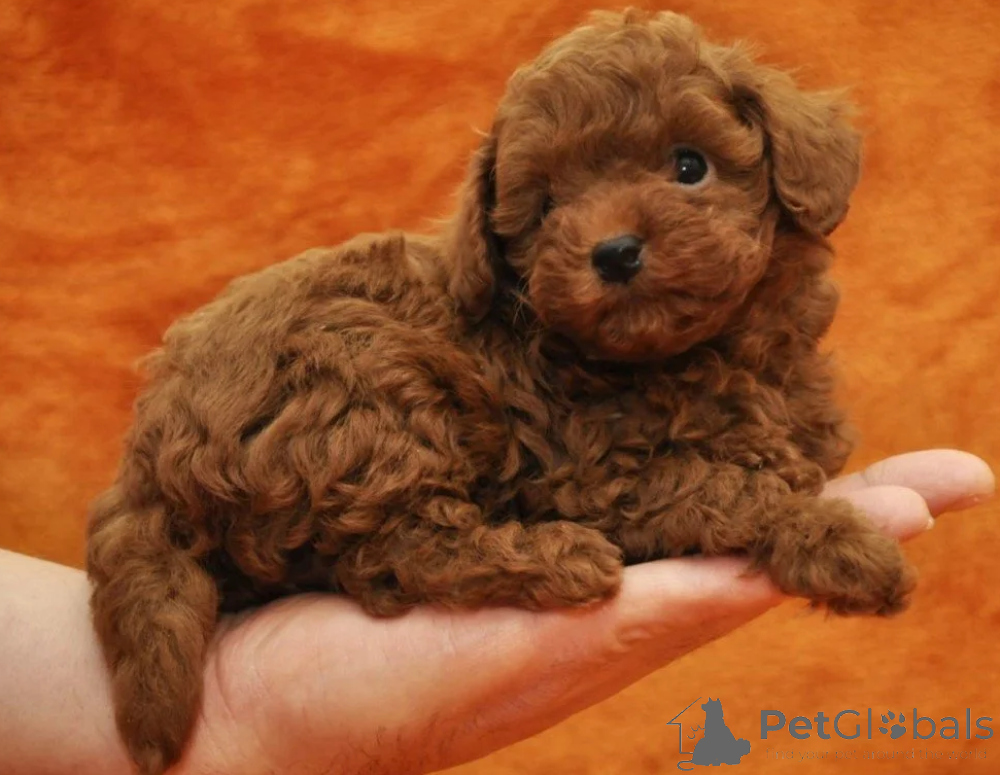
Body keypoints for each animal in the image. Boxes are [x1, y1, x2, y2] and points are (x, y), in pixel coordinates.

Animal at [86, 9, 915, 774]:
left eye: (690, 166)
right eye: (545, 206)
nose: (614, 251)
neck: (697, 351)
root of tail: (147, 450)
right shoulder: (596, 474)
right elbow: (729, 485)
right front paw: (841, 545)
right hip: (367, 391)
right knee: (404, 548)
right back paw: (556, 558)